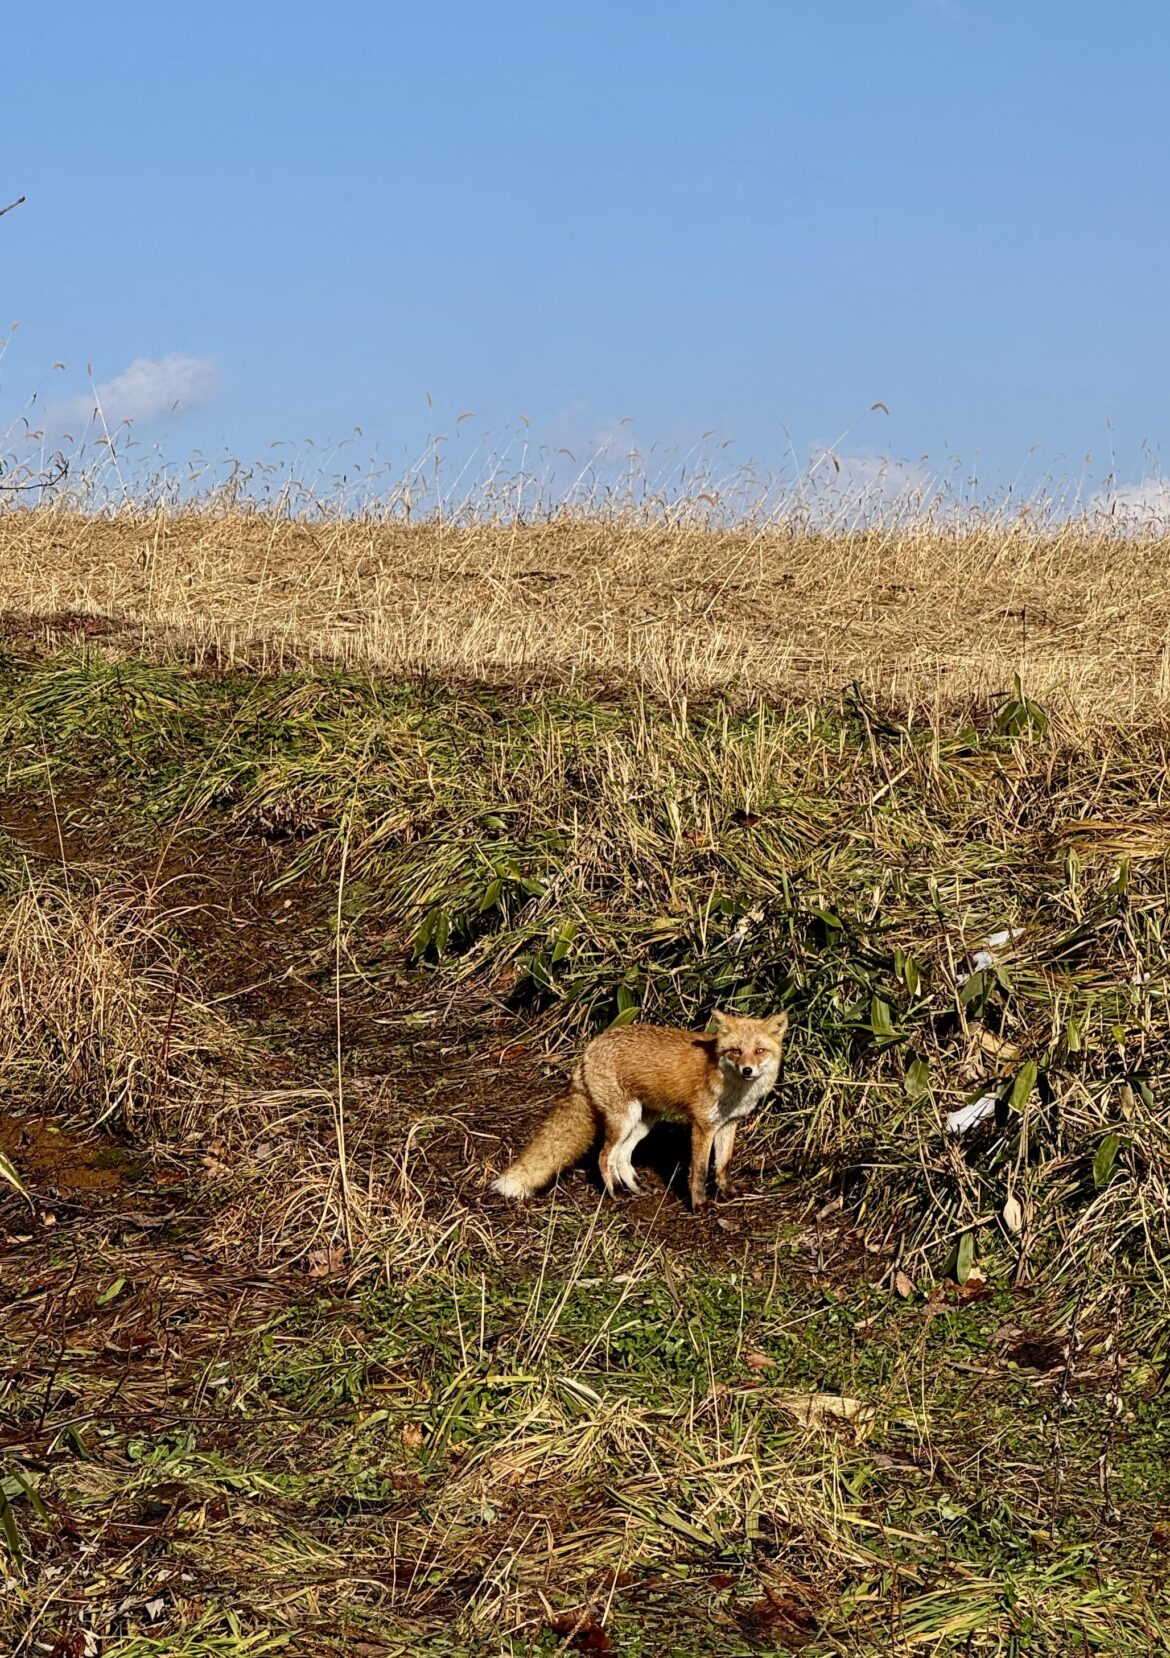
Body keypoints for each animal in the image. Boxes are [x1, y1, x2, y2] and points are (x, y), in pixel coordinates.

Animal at [491, 1010, 789, 1211]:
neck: (733, 1089)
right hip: (624, 1119)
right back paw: (615, 1193)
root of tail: (590, 1047)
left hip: (644, 1122)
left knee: (623, 1156)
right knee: (604, 1156)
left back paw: (635, 1187)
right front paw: (699, 1204)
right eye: (736, 1051)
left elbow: (723, 1164)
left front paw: (728, 1193)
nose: (747, 1070)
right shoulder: (702, 1126)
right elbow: (700, 1170)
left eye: (759, 1051)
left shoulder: (728, 1124)